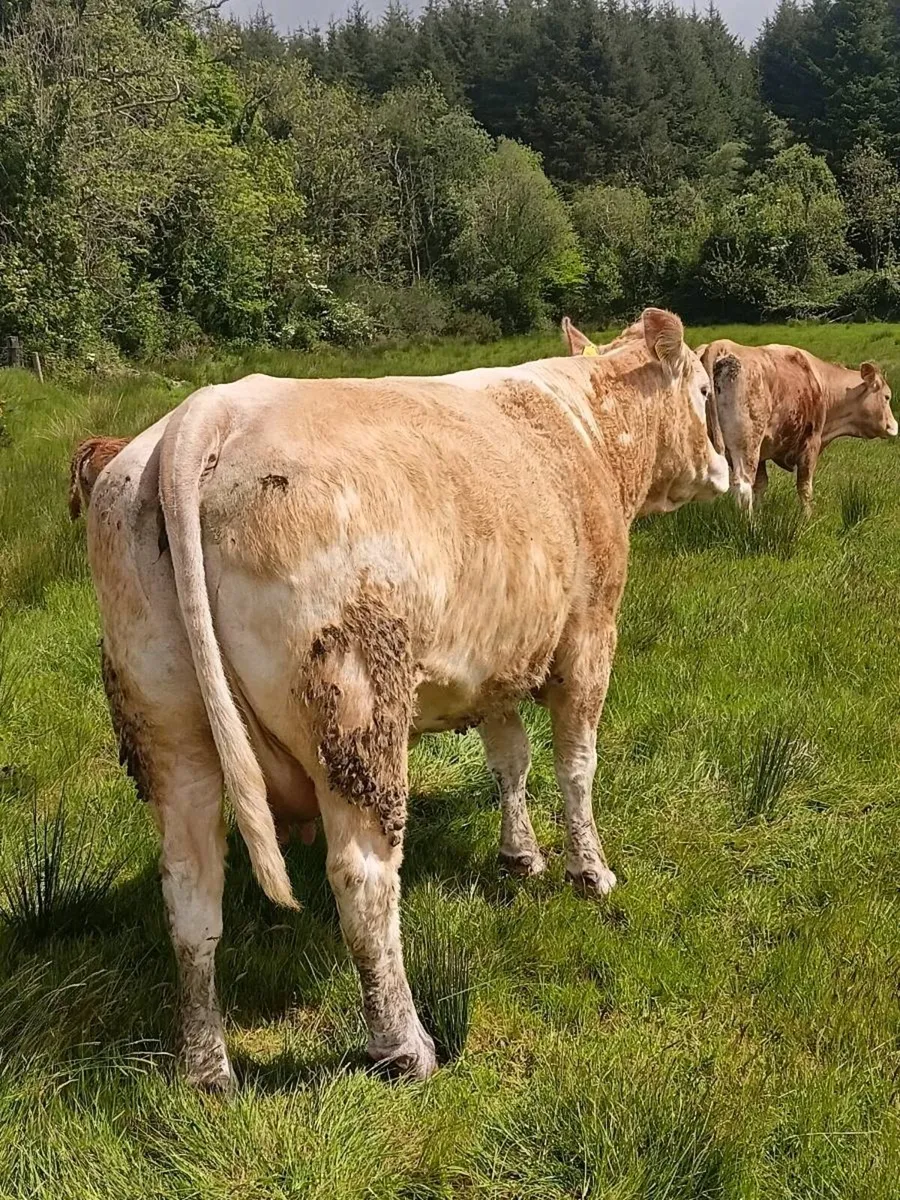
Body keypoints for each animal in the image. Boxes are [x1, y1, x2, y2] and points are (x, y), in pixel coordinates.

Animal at [82, 309, 728, 1090]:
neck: (586, 433)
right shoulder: (587, 638)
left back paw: (207, 1070)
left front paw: (519, 857)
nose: (726, 470)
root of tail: (210, 410)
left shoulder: (494, 662)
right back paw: (405, 1047)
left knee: (190, 891)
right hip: (356, 706)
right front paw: (589, 872)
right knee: (361, 878)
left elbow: (509, 759)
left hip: (167, 726)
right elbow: (576, 765)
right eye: (703, 390)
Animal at [696, 340, 897, 514]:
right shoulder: (810, 445)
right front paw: (807, 518)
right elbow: (804, 487)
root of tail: (720, 345)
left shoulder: (763, 453)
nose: (894, 426)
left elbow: (761, 485)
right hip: (747, 446)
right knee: (743, 487)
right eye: (887, 397)